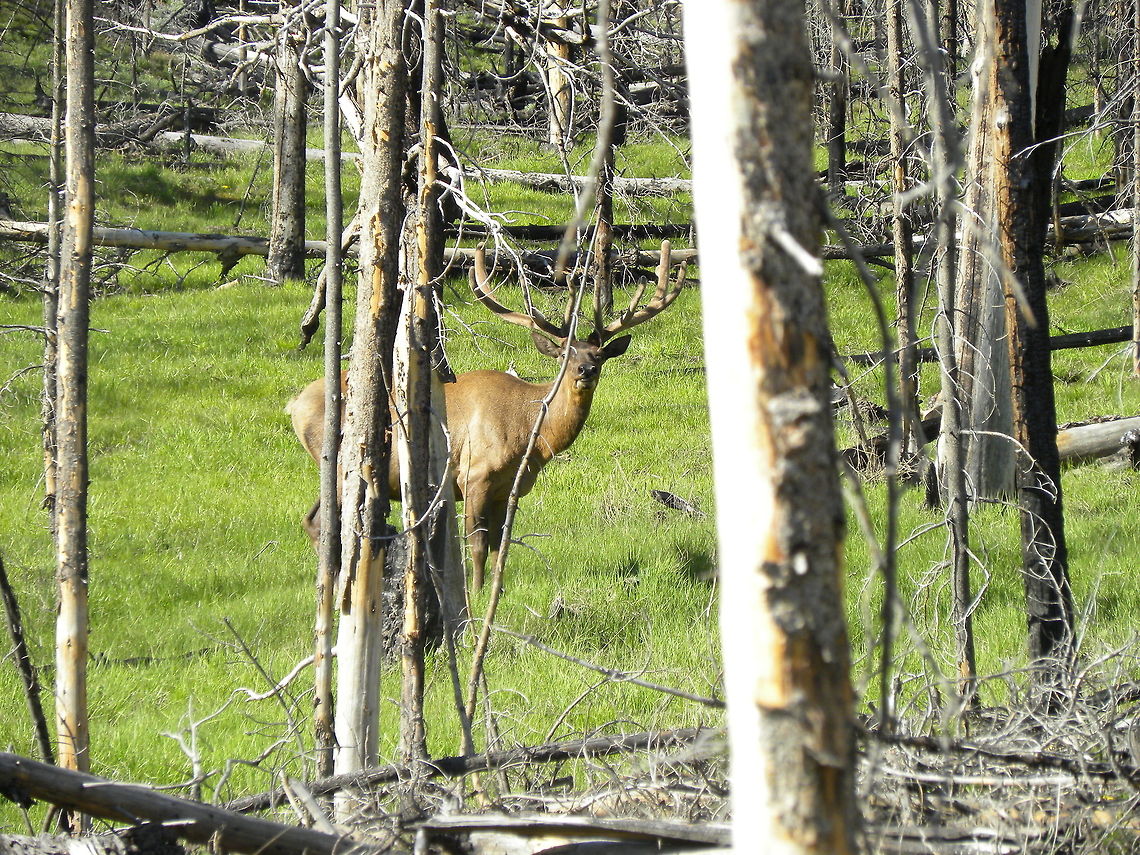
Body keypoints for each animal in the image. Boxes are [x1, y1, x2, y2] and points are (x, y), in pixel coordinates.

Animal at [287, 241, 687, 590]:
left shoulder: (509, 488)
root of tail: (294, 405)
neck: (529, 435)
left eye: (599, 355)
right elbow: (477, 544)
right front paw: (477, 596)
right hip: (346, 462)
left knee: (313, 520)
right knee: (326, 523)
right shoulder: (473, 475)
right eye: (564, 355)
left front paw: (499, 591)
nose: (584, 370)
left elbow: (500, 545)